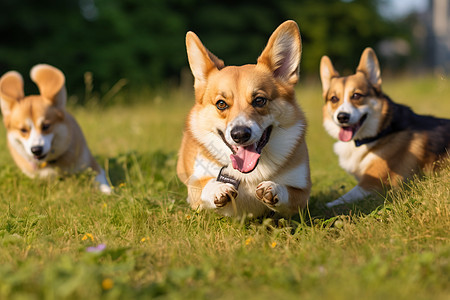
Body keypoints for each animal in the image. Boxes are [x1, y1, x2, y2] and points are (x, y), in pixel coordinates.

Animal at [0, 64, 111, 193]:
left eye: (46, 126)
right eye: (23, 130)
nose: (36, 150)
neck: (50, 165)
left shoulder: (92, 165)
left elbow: (101, 181)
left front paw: (108, 193)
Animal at [178, 21, 312, 218]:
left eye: (259, 100)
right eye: (221, 104)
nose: (240, 135)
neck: (251, 172)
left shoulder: (302, 194)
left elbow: (288, 191)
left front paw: (274, 188)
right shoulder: (195, 190)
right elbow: (206, 185)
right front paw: (219, 188)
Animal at [320, 48, 450, 207]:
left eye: (356, 95)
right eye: (334, 99)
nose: (342, 117)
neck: (380, 132)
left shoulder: (373, 183)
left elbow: (343, 198)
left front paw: (325, 205)